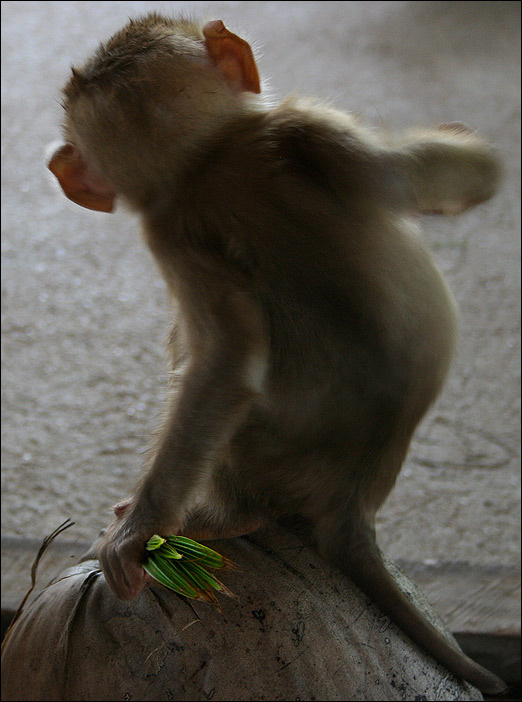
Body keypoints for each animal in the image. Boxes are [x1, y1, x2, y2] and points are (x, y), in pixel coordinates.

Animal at [47, 13, 506, 695]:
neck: (205, 158)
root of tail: (350, 505)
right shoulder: (314, 130)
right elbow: (440, 173)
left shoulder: (182, 218)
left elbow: (227, 361)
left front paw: (138, 530)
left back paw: (220, 518)